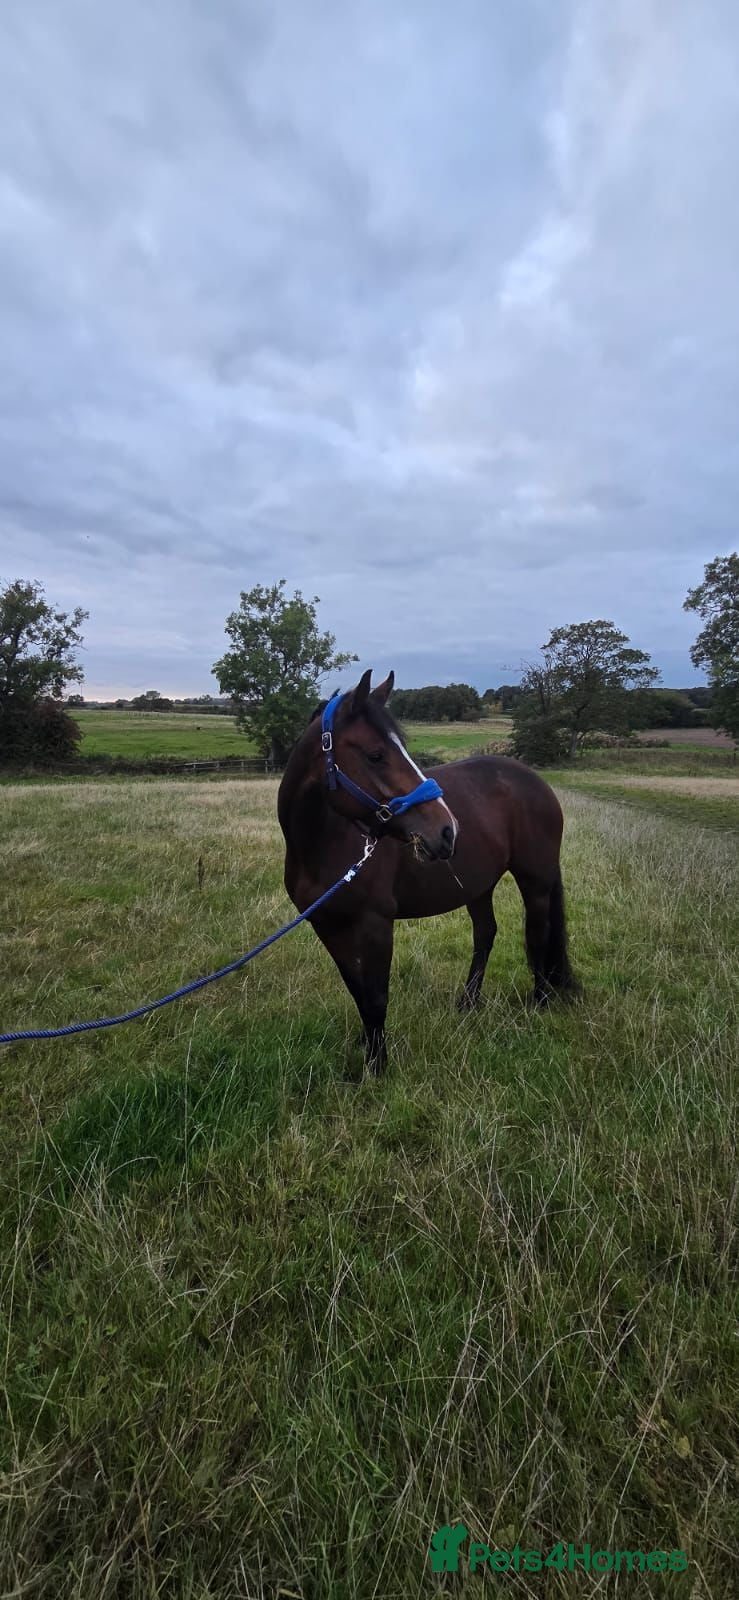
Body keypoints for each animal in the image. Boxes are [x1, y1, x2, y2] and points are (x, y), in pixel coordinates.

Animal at [277, 668, 578, 1072]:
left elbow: (376, 995)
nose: (447, 830)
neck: (323, 844)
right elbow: (357, 989)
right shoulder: (326, 925)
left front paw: (378, 1065)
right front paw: (366, 1045)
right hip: (477, 886)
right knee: (486, 934)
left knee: (538, 934)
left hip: (536, 880)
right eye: (376, 754)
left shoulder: (375, 924)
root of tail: (535, 782)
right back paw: (468, 1002)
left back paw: (541, 1001)